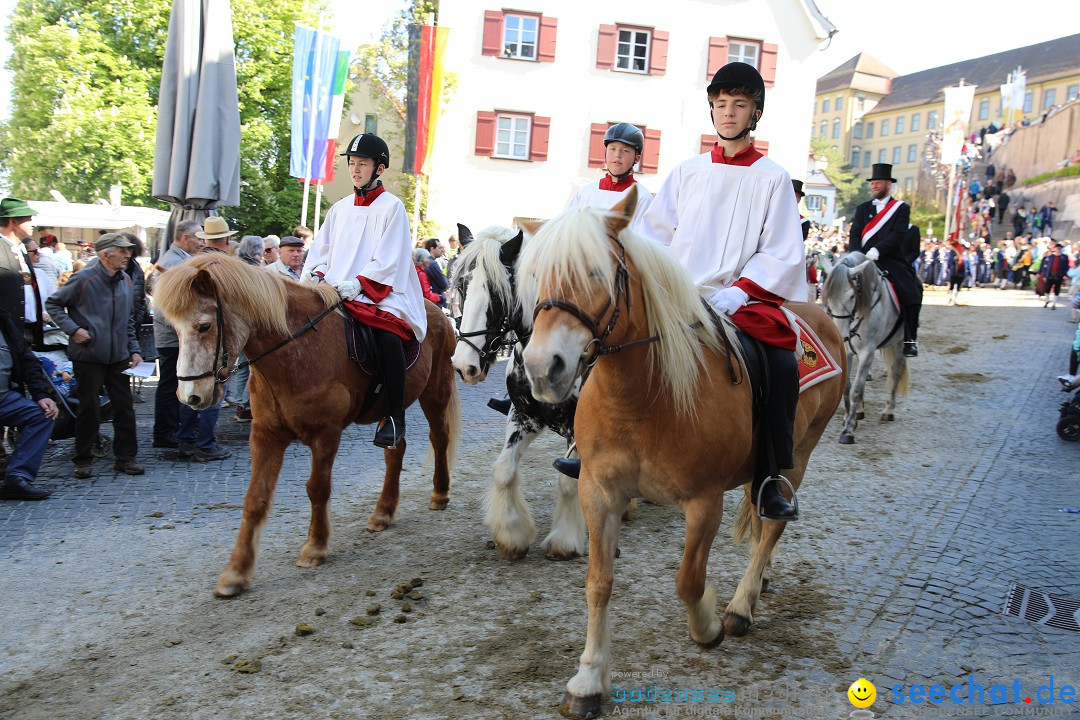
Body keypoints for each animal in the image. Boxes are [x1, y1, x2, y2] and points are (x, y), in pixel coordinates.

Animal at [154, 253, 457, 595]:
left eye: (204, 326)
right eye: (174, 329)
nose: (190, 396)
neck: (294, 352)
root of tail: (440, 311)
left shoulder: (326, 435)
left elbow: (317, 488)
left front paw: (315, 546)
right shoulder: (265, 436)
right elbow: (255, 499)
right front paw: (236, 572)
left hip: (436, 391)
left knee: (440, 437)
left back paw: (440, 493)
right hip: (392, 407)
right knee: (396, 449)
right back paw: (383, 511)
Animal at [447, 225, 587, 561]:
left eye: (496, 293)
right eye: (462, 286)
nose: (464, 365)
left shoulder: (577, 424)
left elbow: (568, 481)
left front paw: (564, 540)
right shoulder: (523, 417)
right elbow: (504, 471)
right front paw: (511, 534)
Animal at [518, 188, 846, 716]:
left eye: (596, 272)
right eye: (537, 278)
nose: (542, 368)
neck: (645, 398)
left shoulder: (703, 502)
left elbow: (689, 580)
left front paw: (707, 624)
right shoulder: (599, 492)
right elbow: (598, 583)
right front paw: (588, 679)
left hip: (798, 455)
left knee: (772, 523)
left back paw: (740, 605)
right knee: (762, 527)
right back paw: (758, 584)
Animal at [820, 253, 907, 444]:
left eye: (852, 295)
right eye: (827, 297)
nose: (841, 336)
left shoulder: (868, 351)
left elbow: (856, 389)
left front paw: (848, 430)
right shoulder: (846, 352)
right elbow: (847, 387)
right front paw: (849, 417)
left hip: (899, 342)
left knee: (896, 370)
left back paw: (888, 410)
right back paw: (859, 410)